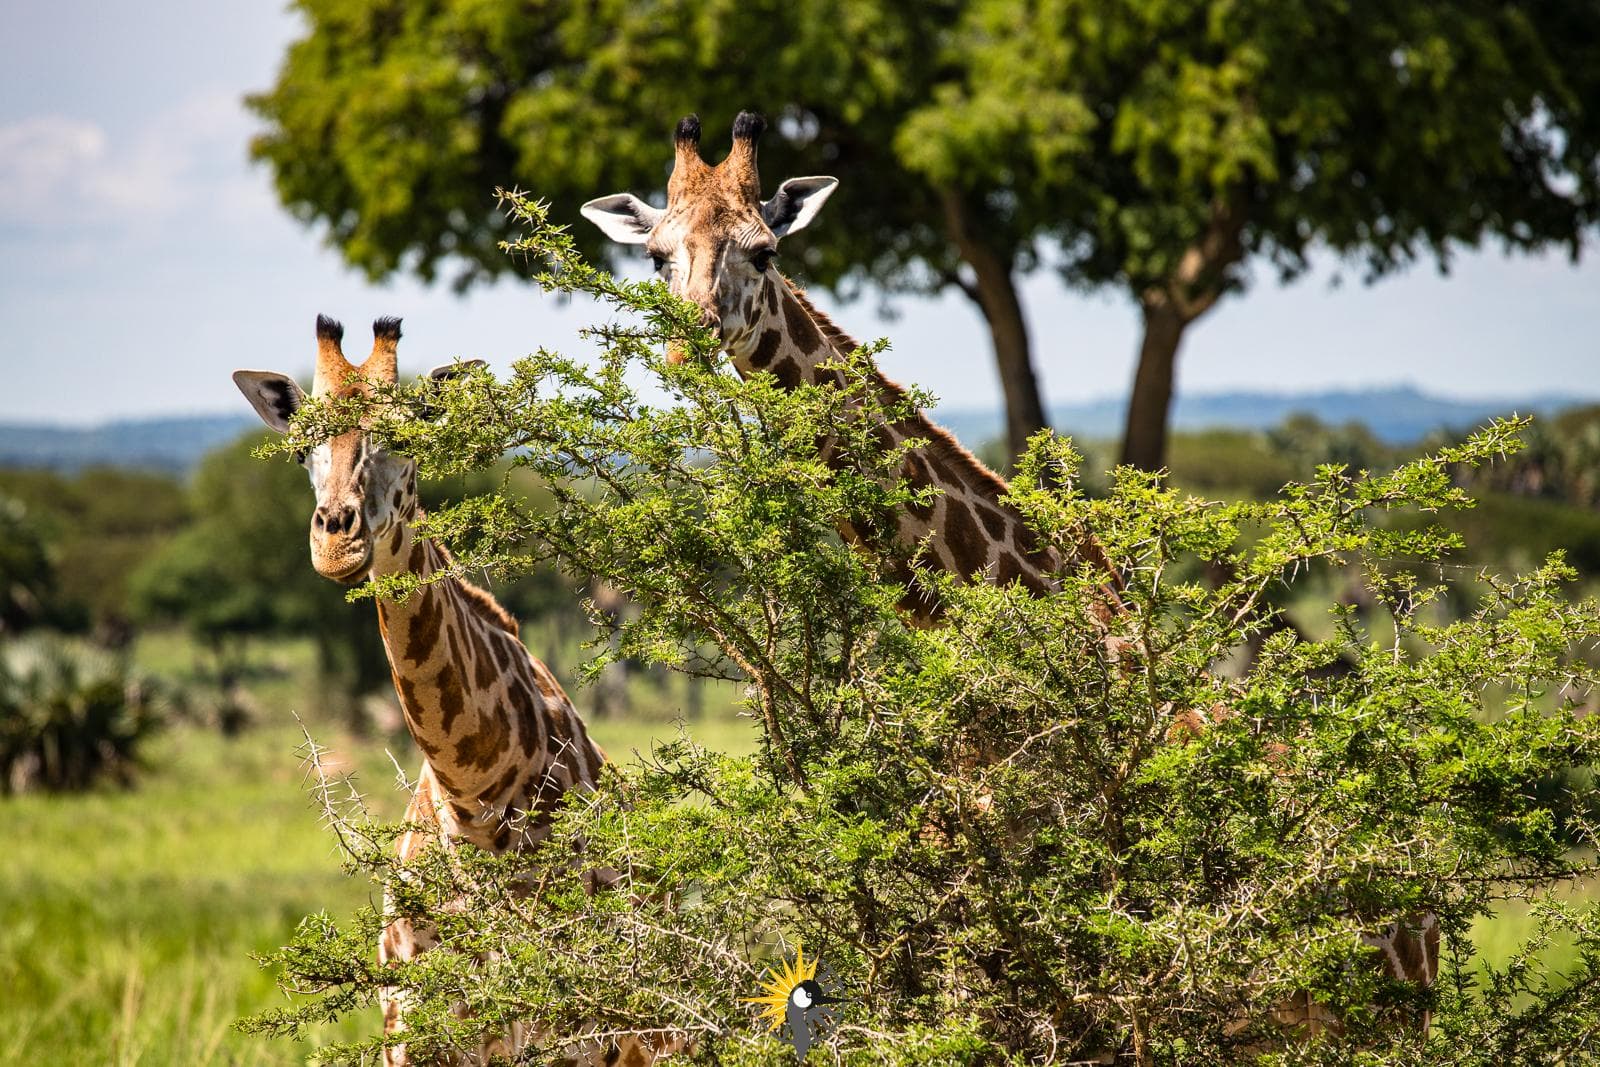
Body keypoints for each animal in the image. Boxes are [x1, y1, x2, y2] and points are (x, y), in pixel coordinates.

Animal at [233, 316, 678, 1067]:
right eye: (300, 450)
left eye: (406, 438)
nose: (336, 543)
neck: (477, 799)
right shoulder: (413, 1027)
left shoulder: (565, 1030)